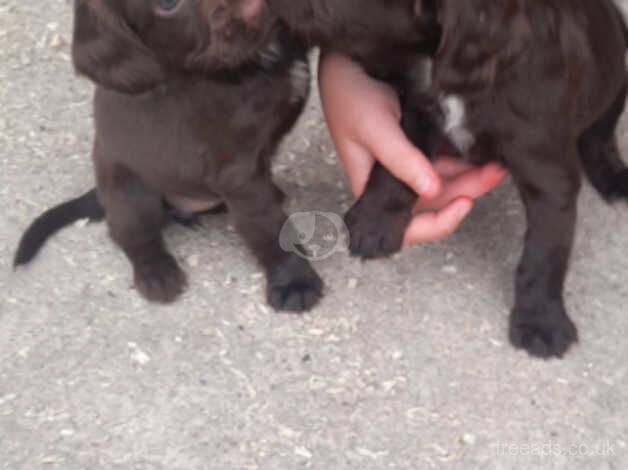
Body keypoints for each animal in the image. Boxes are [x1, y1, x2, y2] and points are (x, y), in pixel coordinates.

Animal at [14, 0, 324, 312]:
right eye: (167, 5)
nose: (249, 6)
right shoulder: (237, 173)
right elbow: (269, 226)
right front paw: (295, 281)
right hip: (133, 197)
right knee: (131, 235)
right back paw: (156, 273)